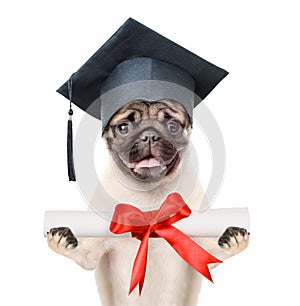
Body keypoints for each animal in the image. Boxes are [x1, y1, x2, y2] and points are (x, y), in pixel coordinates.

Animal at [47, 100, 248, 306]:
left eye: (173, 126)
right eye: (124, 127)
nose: (149, 135)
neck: (150, 201)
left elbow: (213, 252)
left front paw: (233, 237)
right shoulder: (91, 252)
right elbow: (83, 252)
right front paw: (63, 238)